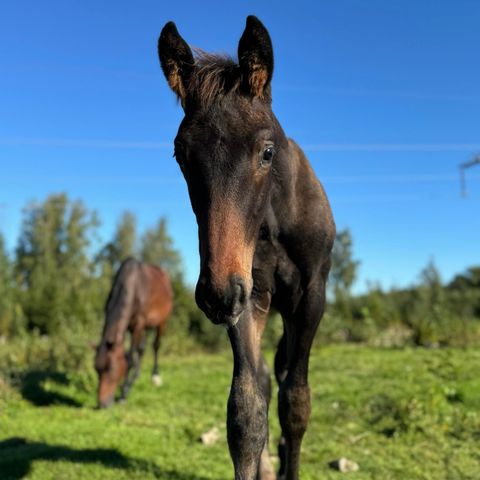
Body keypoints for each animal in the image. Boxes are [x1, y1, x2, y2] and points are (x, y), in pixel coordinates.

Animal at [93, 258, 172, 408]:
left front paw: (123, 393)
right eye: (97, 370)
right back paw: (136, 377)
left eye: (111, 370)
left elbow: (129, 358)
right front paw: (127, 384)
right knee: (142, 349)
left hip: (162, 321)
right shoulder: (132, 326)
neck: (134, 286)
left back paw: (155, 375)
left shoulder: (138, 324)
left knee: (156, 345)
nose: (103, 404)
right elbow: (134, 352)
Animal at [159, 15, 336, 480]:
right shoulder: (248, 296)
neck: (273, 226)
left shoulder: (310, 298)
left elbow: (296, 403)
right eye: (180, 155)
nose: (216, 293)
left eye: (267, 152)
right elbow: (246, 413)